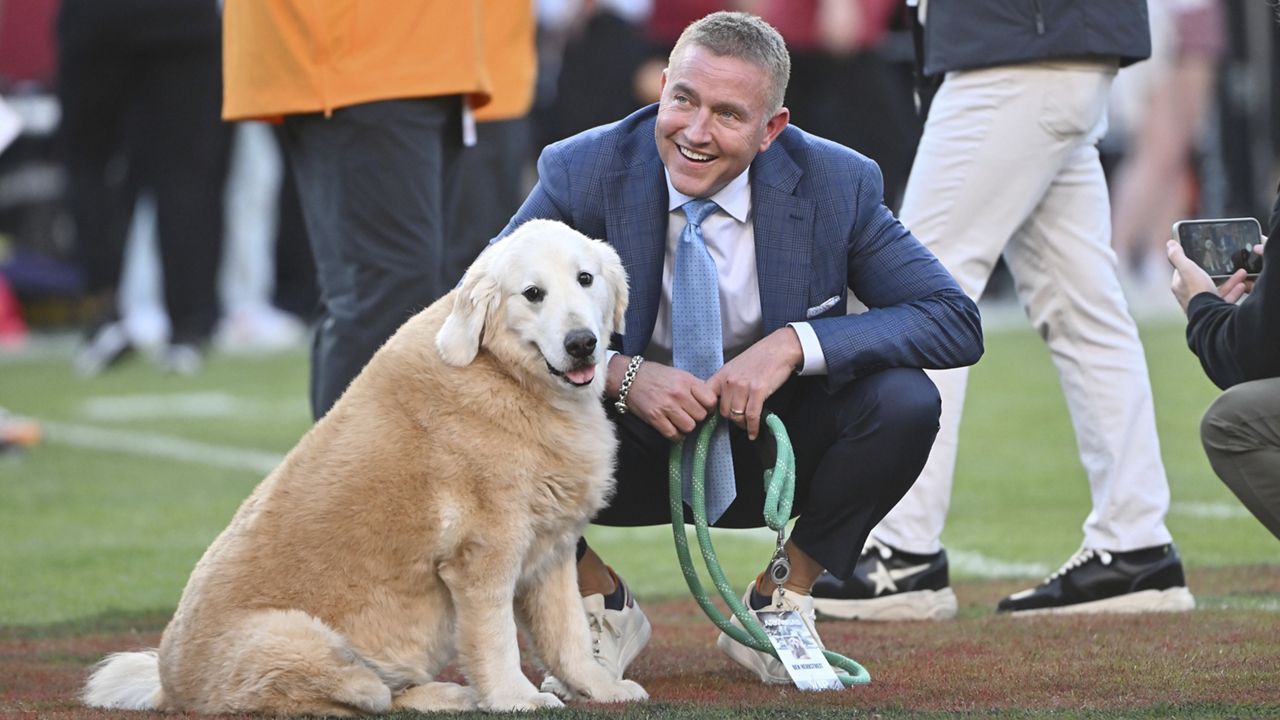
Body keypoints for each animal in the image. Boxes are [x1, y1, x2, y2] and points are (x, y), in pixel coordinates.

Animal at [83, 221, 645, 712]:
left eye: (585, 279)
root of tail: (168, 690)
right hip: (299, 638)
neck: (507, 376)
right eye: (532, 293)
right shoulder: (483, 555)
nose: (581, 343)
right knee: (361, 694)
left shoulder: (551, 551)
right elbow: (497, 640)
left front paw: (599, 688)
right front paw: (517, 699)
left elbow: (568, 637)